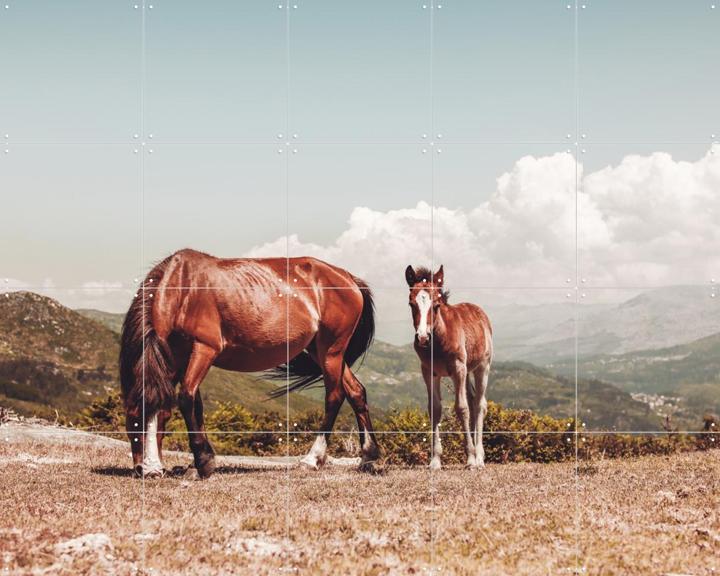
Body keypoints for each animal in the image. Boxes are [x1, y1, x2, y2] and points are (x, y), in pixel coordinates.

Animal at [119, 248, 380, 479]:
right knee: (356, 392)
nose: (148, 470)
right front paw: (198, 462)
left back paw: (312, 459)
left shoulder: (205, 349)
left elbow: (185, 398)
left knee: (334, 396)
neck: (184, 288)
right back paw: (368, 456)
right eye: (131, 420)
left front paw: (202, 463)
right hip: (321, 351)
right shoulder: (179, 356)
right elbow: (194, 405)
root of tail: (348, 278)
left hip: (331, 351)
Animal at [405, 265, 493, 470]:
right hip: (467, 371)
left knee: (480, 405)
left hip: (482, 367)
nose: (423, 338)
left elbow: (461, 408)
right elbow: (435, 409)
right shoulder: (429, 372)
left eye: (436, 305)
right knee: (473, 399)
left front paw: (470, 459)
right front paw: (435, 460)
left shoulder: (458, 368)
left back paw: (479, 457)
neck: (439, 340)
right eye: (411, 304)